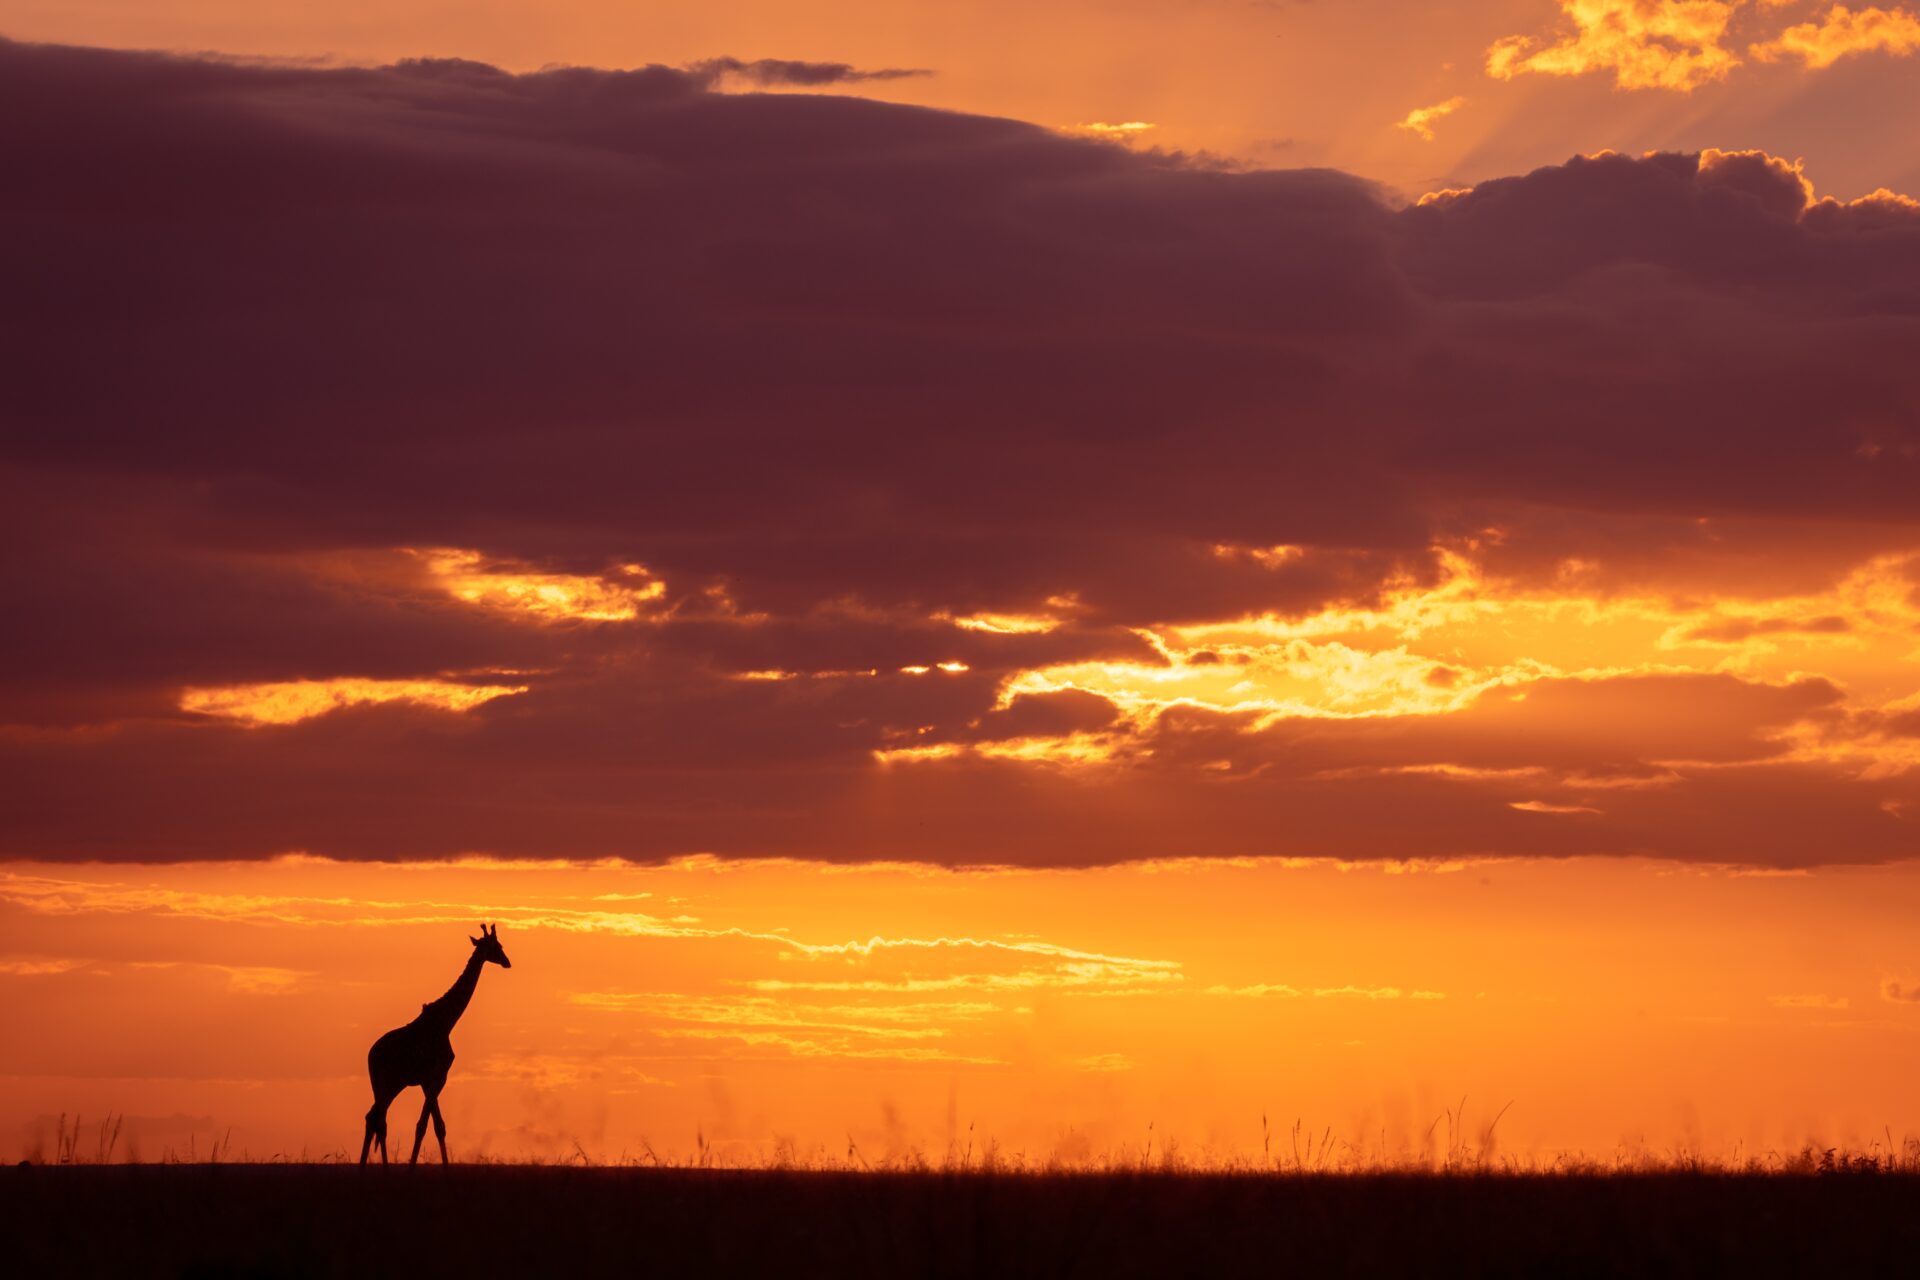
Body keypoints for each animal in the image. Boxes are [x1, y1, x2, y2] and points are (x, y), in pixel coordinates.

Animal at [359, 923, 512, 1165]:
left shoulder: (432, 1079)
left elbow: (438, 1126)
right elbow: (423, 1126)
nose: (507, 962)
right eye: (497, 946)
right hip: (385, 1081)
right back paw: (383, 1168)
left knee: (373, 1116)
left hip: (394, 1083)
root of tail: (370, 1054)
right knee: (379, 1119)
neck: (445, 1022)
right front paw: (411, 1168)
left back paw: (364, 1167)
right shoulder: (435, 1075)